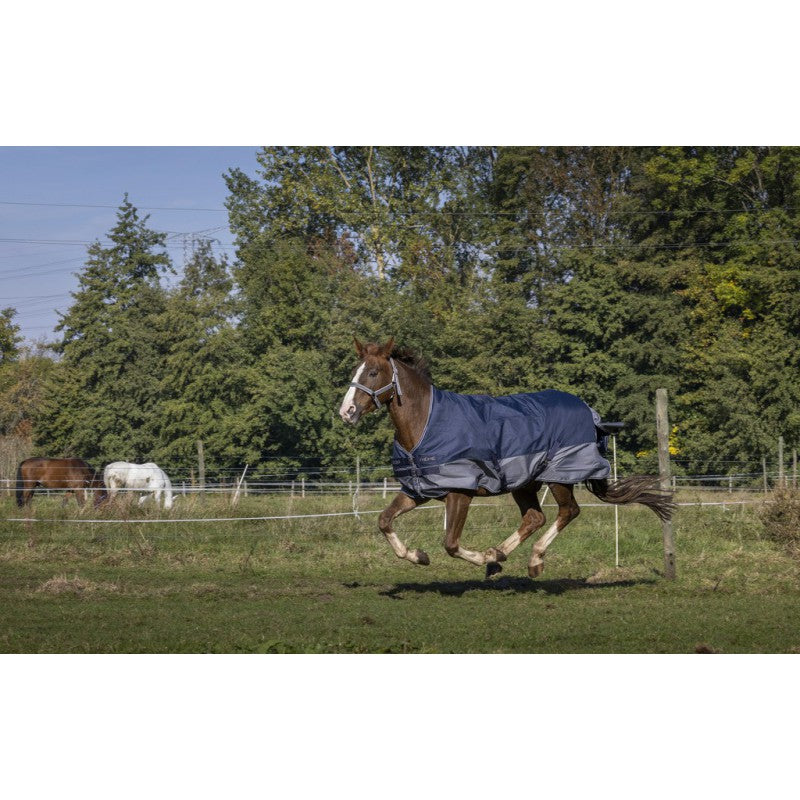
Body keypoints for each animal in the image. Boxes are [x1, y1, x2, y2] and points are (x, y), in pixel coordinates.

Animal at [339, 337, 675, 579]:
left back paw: (531, 560)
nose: (346, 412)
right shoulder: (419, 489)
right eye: (354, 371)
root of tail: (589, 413)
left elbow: (450, 543)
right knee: (535, 517)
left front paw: (479, 557)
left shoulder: (460, 492)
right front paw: (419, 556)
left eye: (373, 372)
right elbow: (384, 521)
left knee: (568, 512)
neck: (425, 423)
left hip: (559, 477)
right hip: (524, 482)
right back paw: (499, 555)